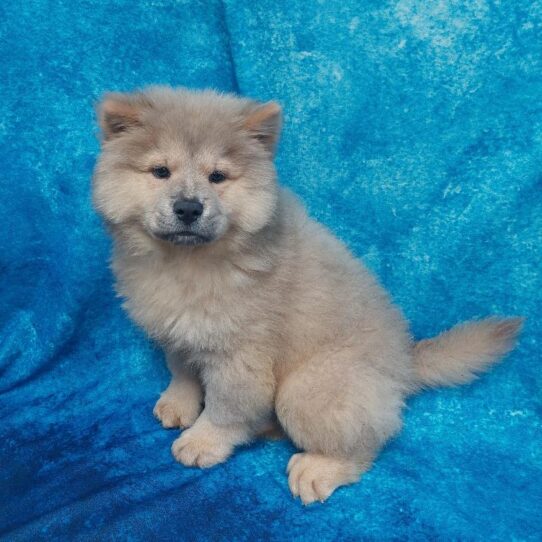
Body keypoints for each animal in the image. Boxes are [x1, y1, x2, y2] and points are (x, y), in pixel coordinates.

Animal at [92, 85, 524, 506]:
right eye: (160, 172)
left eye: (217, 177)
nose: (188, 207)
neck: (186, 264)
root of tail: (405, 364)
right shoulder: (178, 333)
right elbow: (181, 372)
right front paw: (178, 405)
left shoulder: (239, 356)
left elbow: (226, 407)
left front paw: (202, 442)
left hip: (308, 388)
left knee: (365, 443)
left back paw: (317, 470)